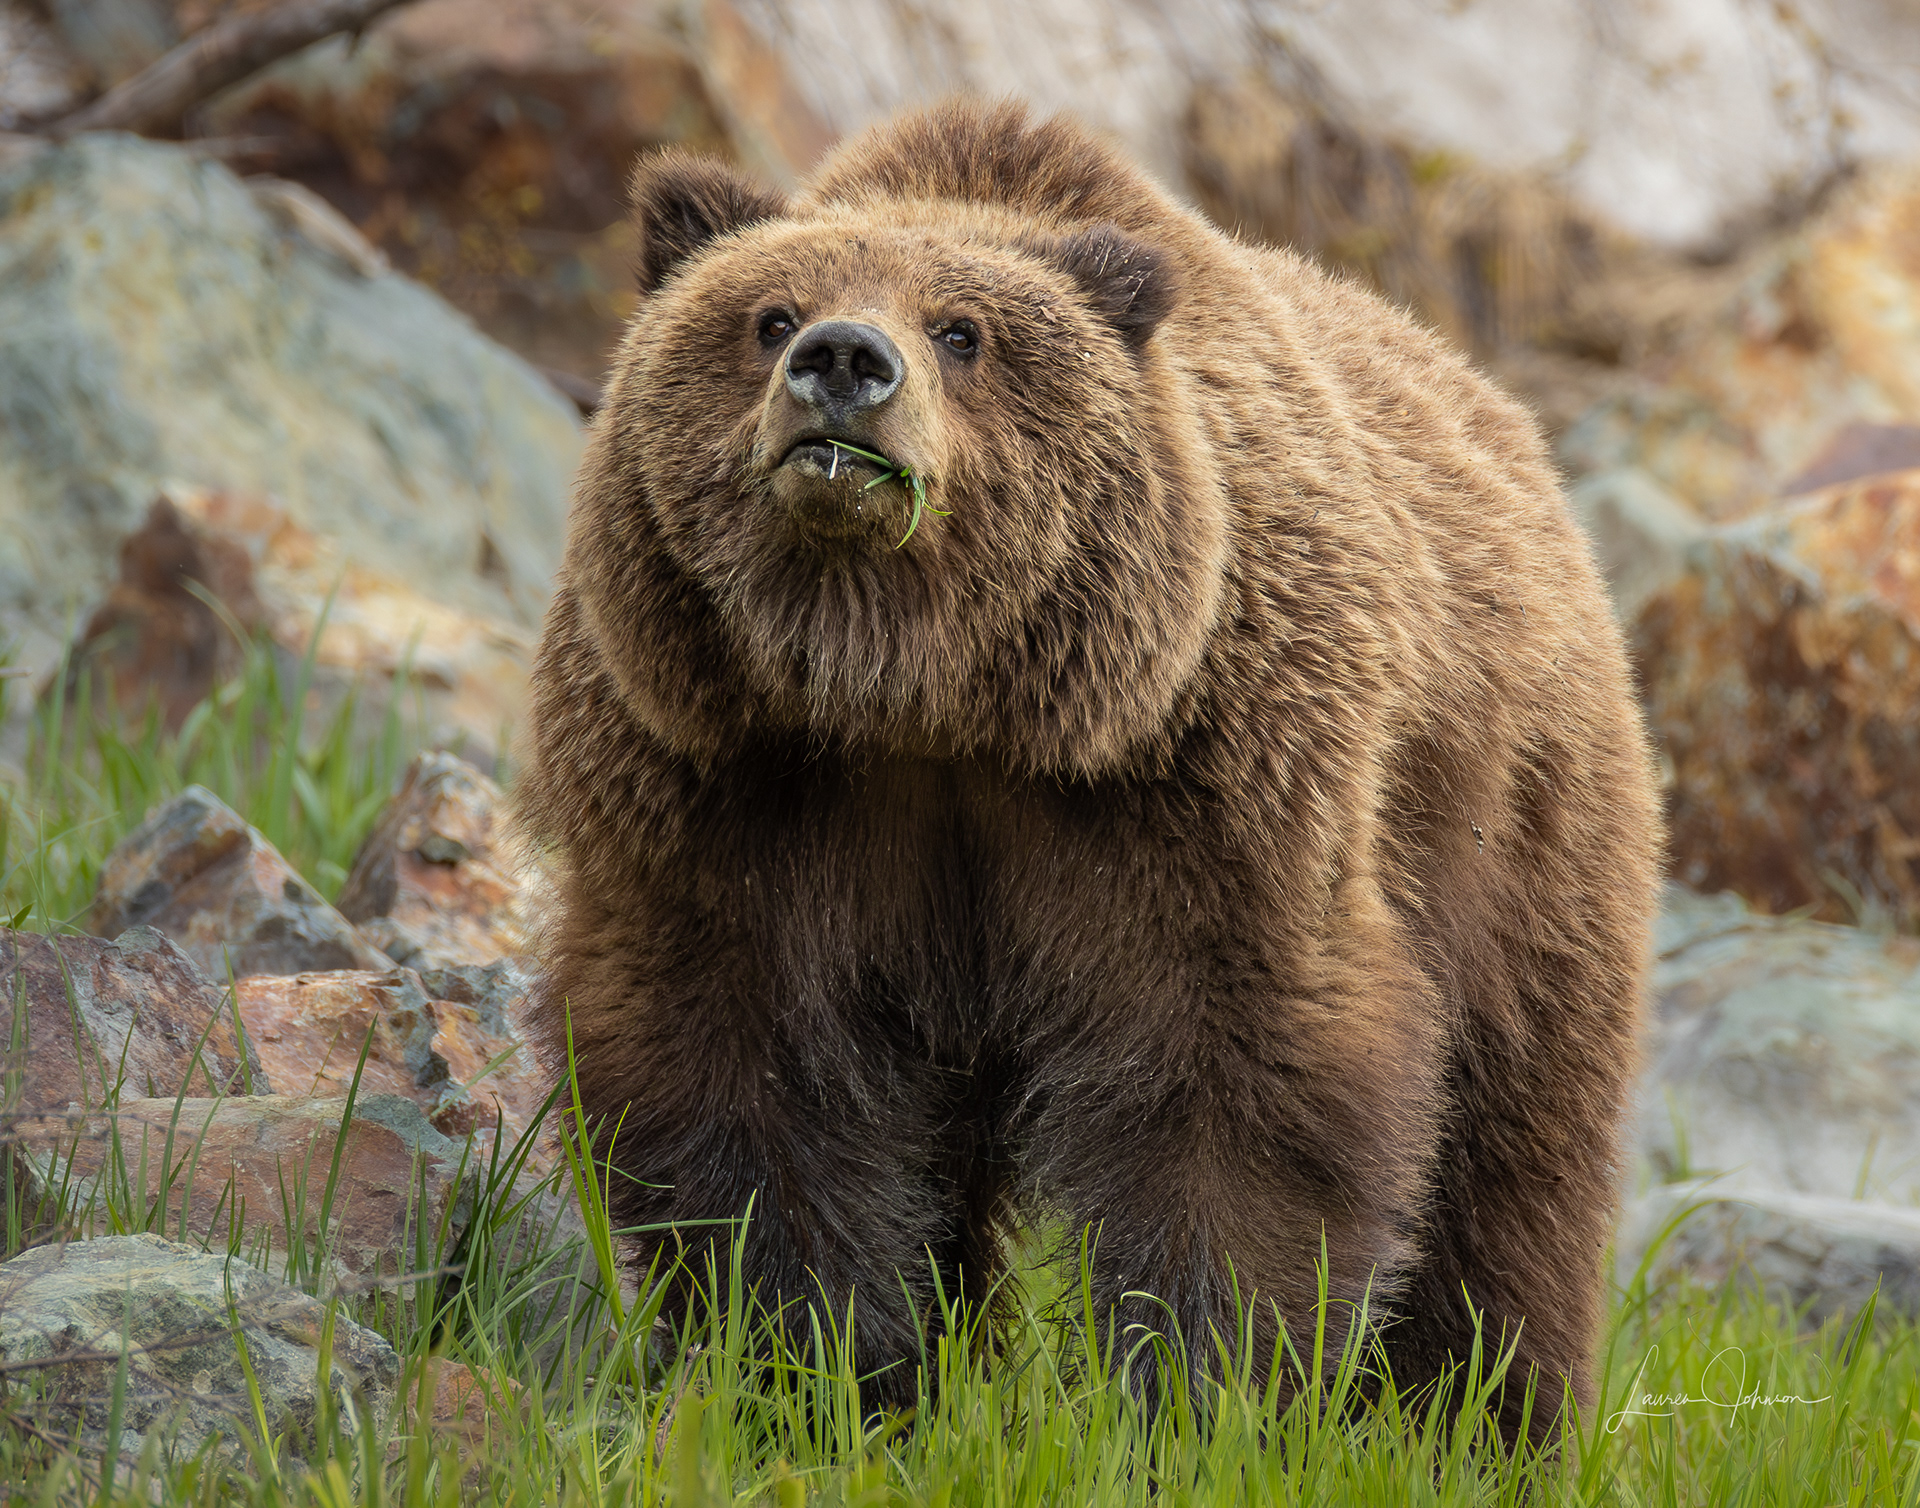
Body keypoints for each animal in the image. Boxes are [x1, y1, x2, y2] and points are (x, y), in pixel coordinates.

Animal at [521, 98, 1660, 1445]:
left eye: (962, 329)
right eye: (768, 313)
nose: (845, 360)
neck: (919, 694)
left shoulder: (1193, 785)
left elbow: (1233, 1090)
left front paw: (1206, 1398)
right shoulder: (725, 782)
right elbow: (757, 1085)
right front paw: (828, 1379)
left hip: (1518, 835)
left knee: (1516, 1157)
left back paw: (1483, 1421)